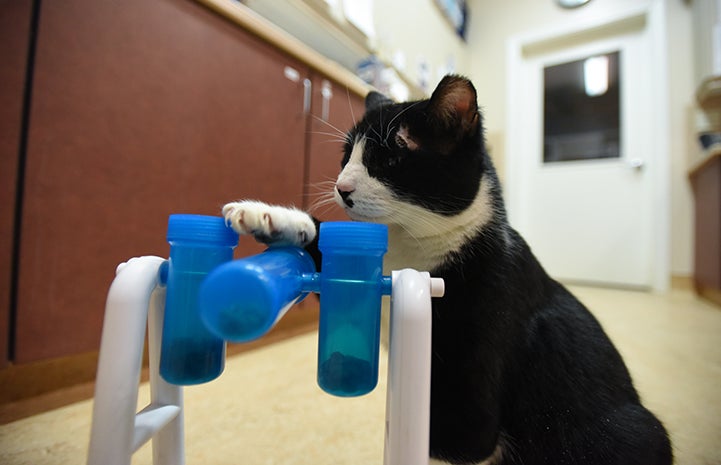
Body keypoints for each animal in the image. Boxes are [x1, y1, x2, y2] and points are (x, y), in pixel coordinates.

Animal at [222, 74, 672, 462]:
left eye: (389, 156)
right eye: (345, 156)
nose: (341, 187)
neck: (412, 252)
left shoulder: (471, 402)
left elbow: (454, 440)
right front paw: (266, 216)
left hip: (634, 431)